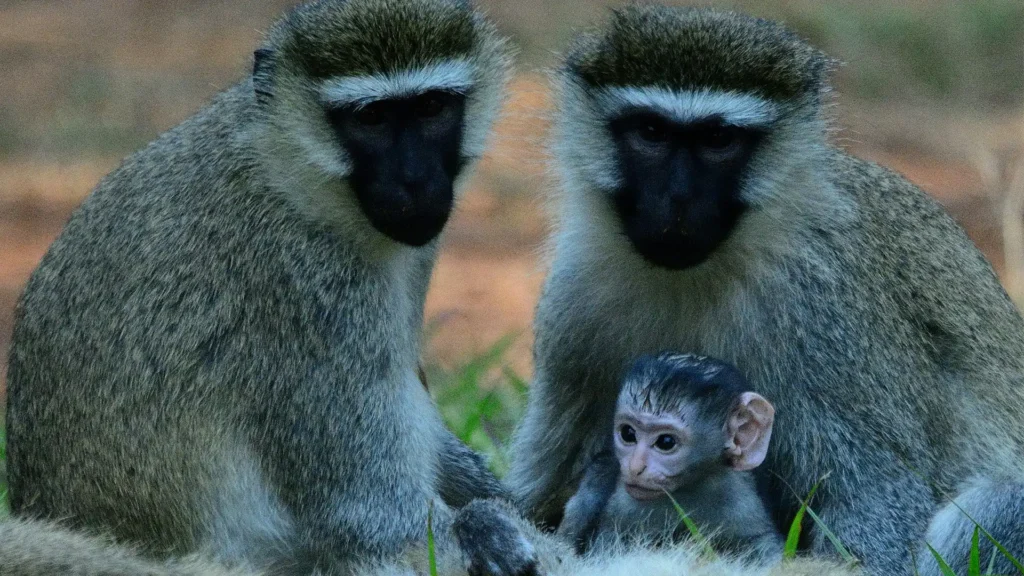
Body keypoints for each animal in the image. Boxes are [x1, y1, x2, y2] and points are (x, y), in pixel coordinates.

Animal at [2, 0, 536, 569]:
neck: (293, 172)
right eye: (370, 118)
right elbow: (369, 513)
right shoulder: (307, 286)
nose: (415, 181)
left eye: (432, 107)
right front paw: (491, 530)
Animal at [561, 350, 782, 561]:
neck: (689, 487)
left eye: (665, 442)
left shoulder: (743, 502)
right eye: (628, 434)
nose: (634, 467)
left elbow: (762, 542)